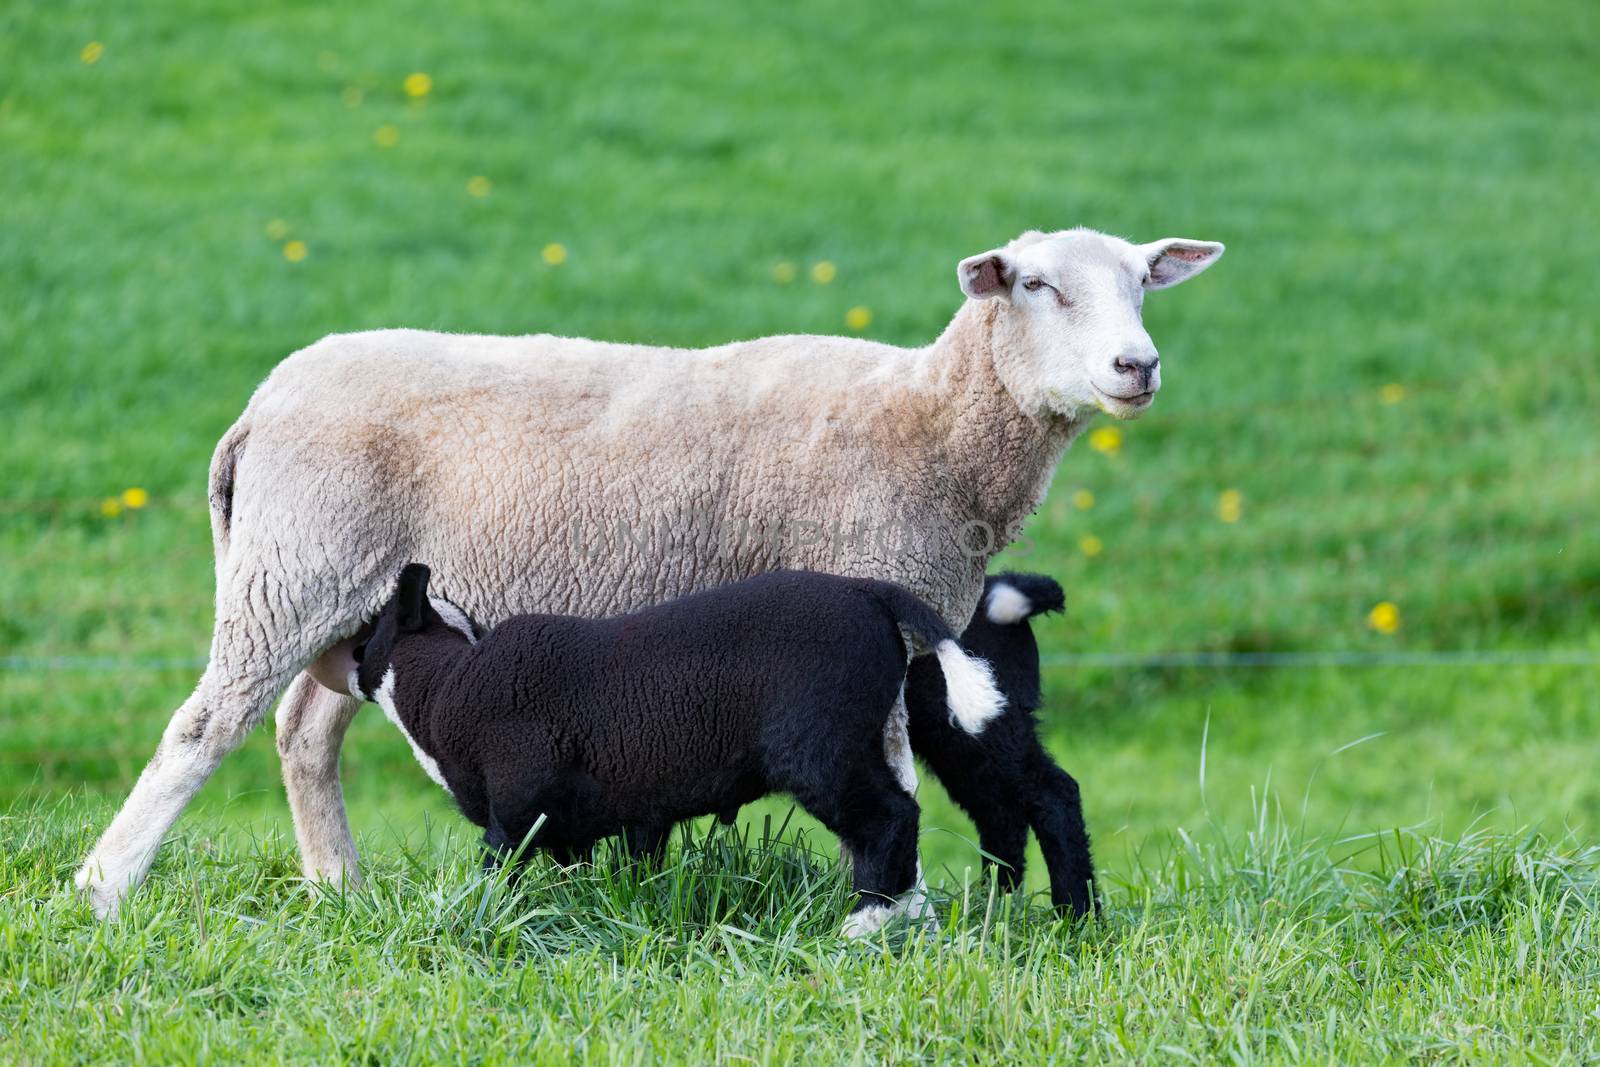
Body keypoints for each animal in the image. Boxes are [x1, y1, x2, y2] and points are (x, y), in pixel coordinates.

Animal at [350, 563, 1004, 940]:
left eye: (371, 631)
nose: (351, 663)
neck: (446, 688)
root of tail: (867, 593)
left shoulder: (515, 811)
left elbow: (494, 877)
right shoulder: (586, 824)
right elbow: (597, 874)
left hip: (820, 748)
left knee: (890, 817)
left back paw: (865, 922)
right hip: (868, 737)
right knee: (901, 816)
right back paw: (902, 919)